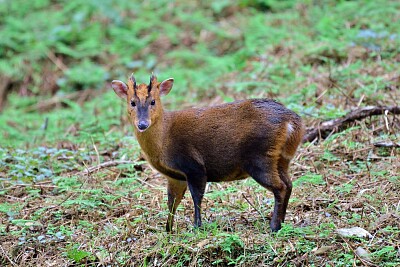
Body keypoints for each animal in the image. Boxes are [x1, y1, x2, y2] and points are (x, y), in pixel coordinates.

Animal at [111, 74, 304, 232]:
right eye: (132, 102)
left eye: (153, 101)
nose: (142, 124)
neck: (164, 140)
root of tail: (292, 121)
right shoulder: (175, 176)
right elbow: (172, 202)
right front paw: (168, 230)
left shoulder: (193, 166)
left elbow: (196, 197)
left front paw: (196, 227)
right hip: (281, 159)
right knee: (289, 184)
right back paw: (282, 222)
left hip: (259, 157)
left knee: (280, 187)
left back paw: (274, 226)